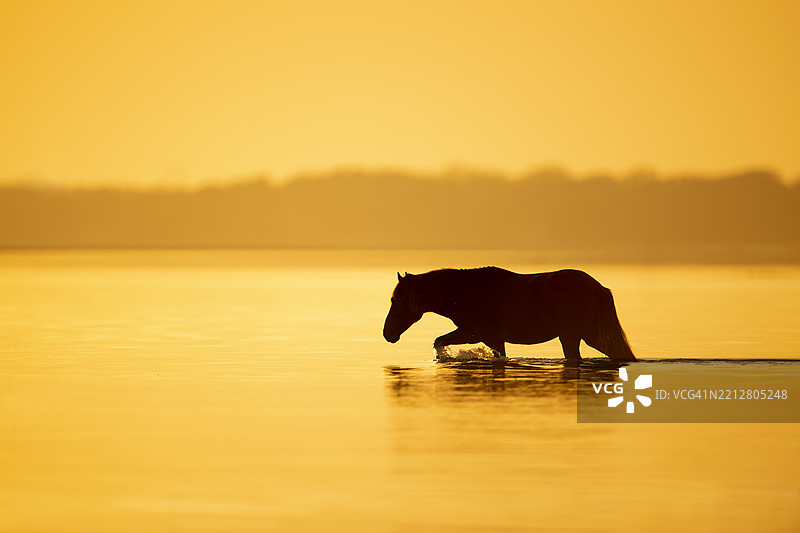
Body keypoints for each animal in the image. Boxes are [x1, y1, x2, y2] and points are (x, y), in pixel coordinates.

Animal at [383, 267, 635, 362]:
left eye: (395, 300)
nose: (387, 333)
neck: (465, 291)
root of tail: (598, 287)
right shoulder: (481, 336)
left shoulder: (481, 335)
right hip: (590, 336)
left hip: (571, 337)